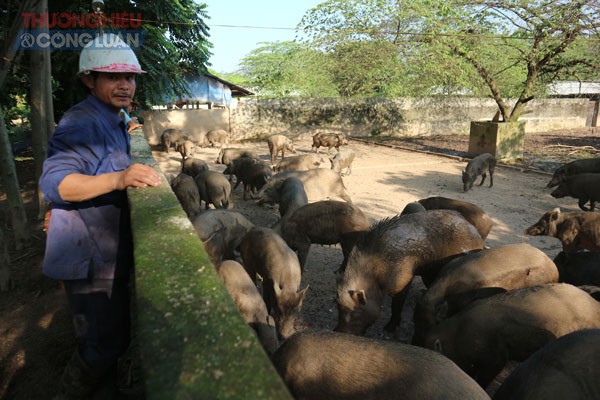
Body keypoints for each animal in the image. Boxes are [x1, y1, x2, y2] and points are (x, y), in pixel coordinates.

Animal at [336, 209, 486, 334]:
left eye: (354, 312)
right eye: (338, 308)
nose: (338, 331)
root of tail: (478, 236)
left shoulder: (403, 281)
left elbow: (397, 304)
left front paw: (388, 329)